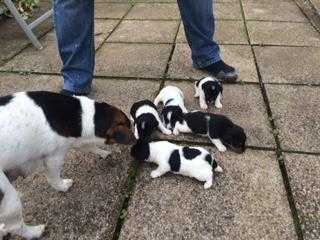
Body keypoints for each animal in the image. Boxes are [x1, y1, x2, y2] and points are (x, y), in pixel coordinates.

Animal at [0, 90, 136, 240]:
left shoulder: (77, 141)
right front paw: (63, 186)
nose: (136, 139)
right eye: (129, 125)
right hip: (9, 198)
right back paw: (35, 232)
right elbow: (54, 178)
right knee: (15, 226)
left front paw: (103, 153)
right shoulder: (54, 158)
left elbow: (90, 147)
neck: (81, 115)